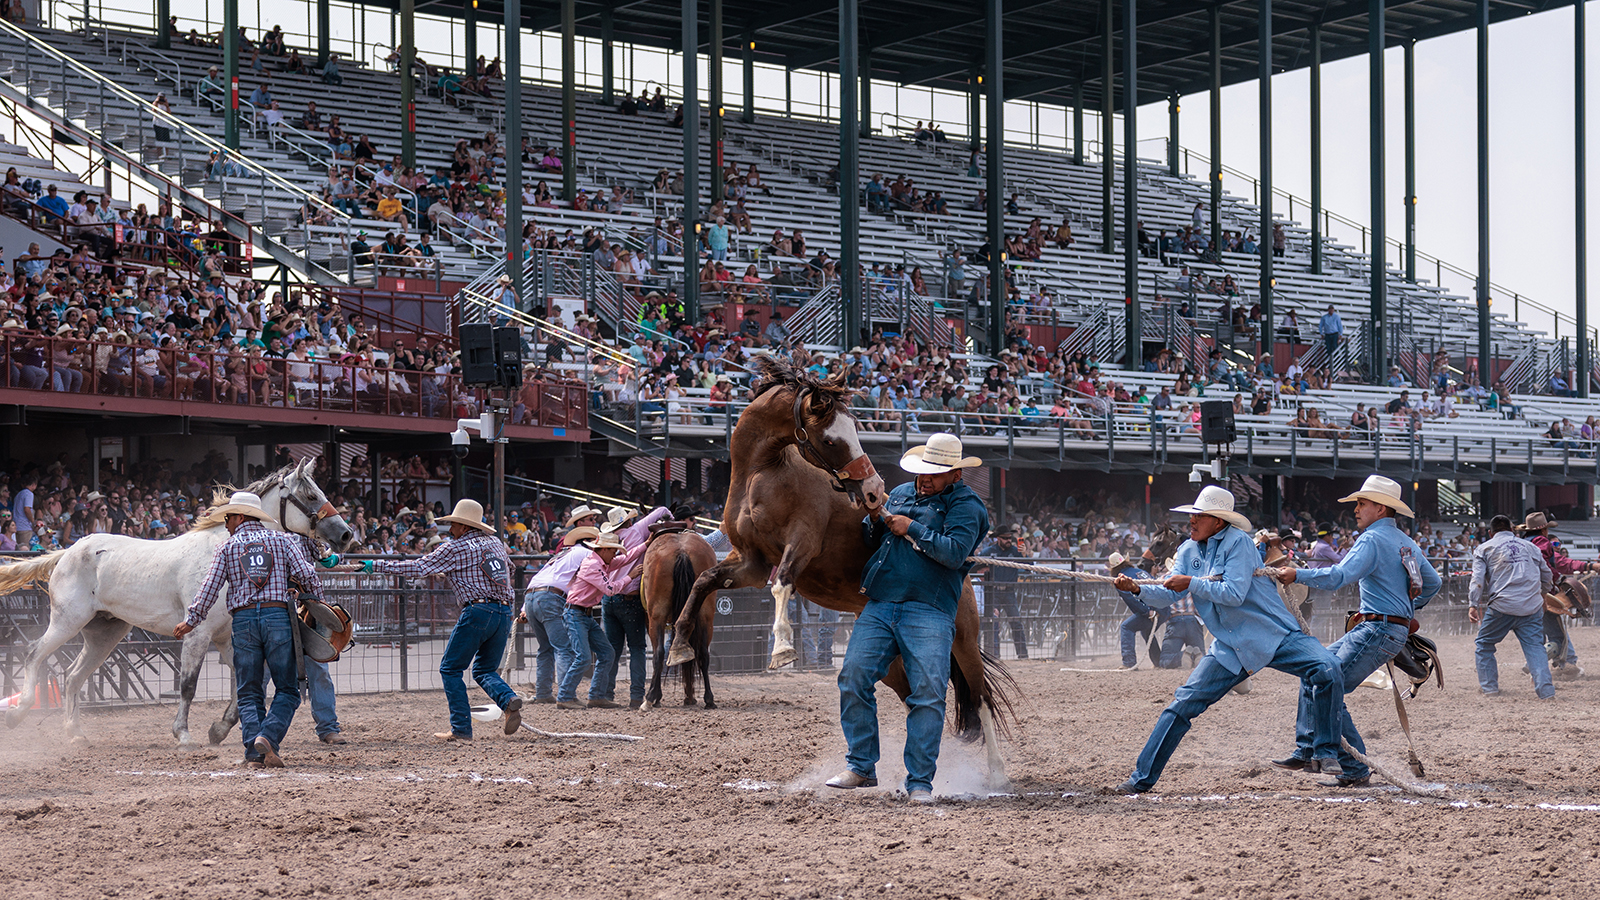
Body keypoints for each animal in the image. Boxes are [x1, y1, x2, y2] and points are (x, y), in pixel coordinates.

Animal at [0, 458, 353, 746]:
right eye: (311, 496)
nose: (346, 534)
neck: (225, 551)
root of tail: (68, 552)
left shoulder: (228, 637)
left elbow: (243, 685)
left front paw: (218, 730)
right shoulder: (197, 633)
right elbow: (188, 685)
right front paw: (182, 733)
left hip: (104, 634)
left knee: (73, 676)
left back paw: (75, 734)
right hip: (67, 621)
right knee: (33, 654)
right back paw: (17, 714)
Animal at [636, 525, 720, 707]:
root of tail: (682, 552)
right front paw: (690, 696)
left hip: (656, 617)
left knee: (659, 653)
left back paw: (651, 697)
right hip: (706, 616)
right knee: (703, 653)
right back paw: (709, 699)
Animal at [665, 353, 1017, 787]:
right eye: (831, 439)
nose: (874, 491)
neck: (763, 473)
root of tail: (966, 578)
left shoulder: (800, 543)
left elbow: (782, 585)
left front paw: (782, 649)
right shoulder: (750, 562)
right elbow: (704, 581)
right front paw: (679, 644)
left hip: (963, 639)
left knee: (980, 696)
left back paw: (997, 774)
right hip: (892, 661)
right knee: (913, 699)